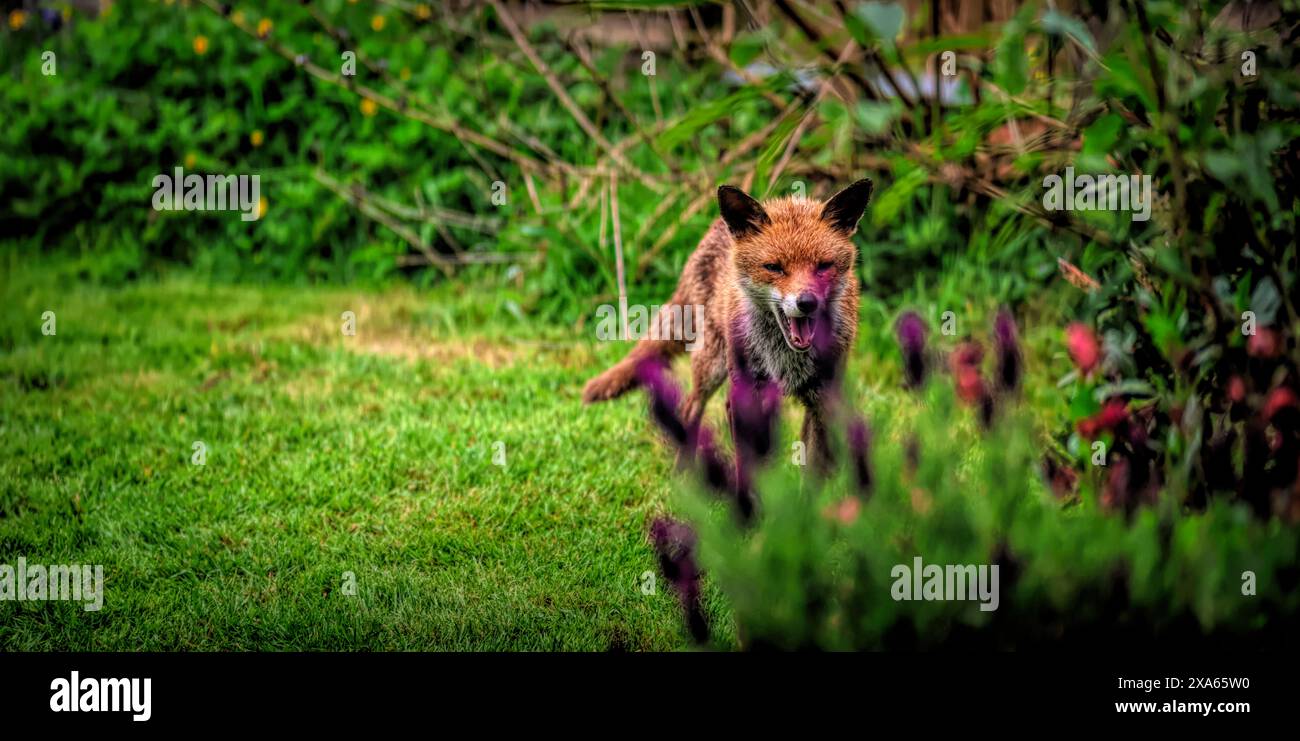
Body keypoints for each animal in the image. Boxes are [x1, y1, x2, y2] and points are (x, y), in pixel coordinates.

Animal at [582, 179, 873, 467]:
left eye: (823, 266)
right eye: (774, 267)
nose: (807, 302)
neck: (785, 359)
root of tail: (715, 228)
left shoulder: (824, 399)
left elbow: (815, 467)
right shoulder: (747, 395)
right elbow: (750, 466)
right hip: (712, 366)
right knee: (690, 410)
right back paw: (684, 476)